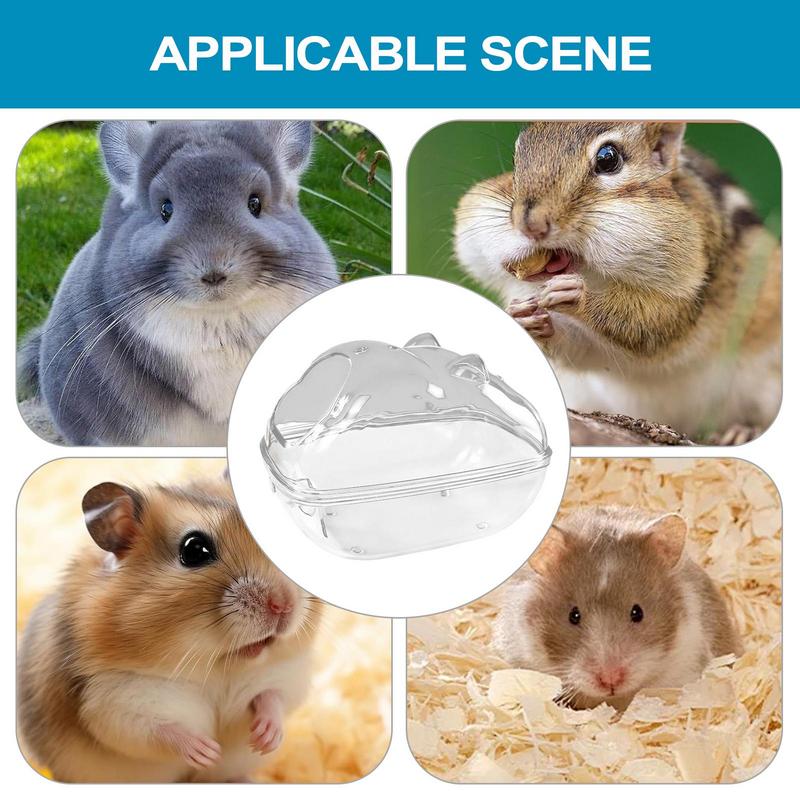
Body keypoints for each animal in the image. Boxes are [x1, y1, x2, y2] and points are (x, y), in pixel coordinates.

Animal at [17, 473, 321, 782]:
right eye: (194, 550)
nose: (283, 605)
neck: (217, 666)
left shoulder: (285, 674)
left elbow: (273, 697)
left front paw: (265, 739)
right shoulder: (113, 700)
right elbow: (157, 731)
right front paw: (207, 751)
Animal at [454, 122, 781, 443]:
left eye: (608, 158)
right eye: (516, 159)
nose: (530, 224)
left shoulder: (694, 284)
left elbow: (658, 323)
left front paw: (579, 296)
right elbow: (584, 352)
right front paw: (528, 320)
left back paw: (741, 431)